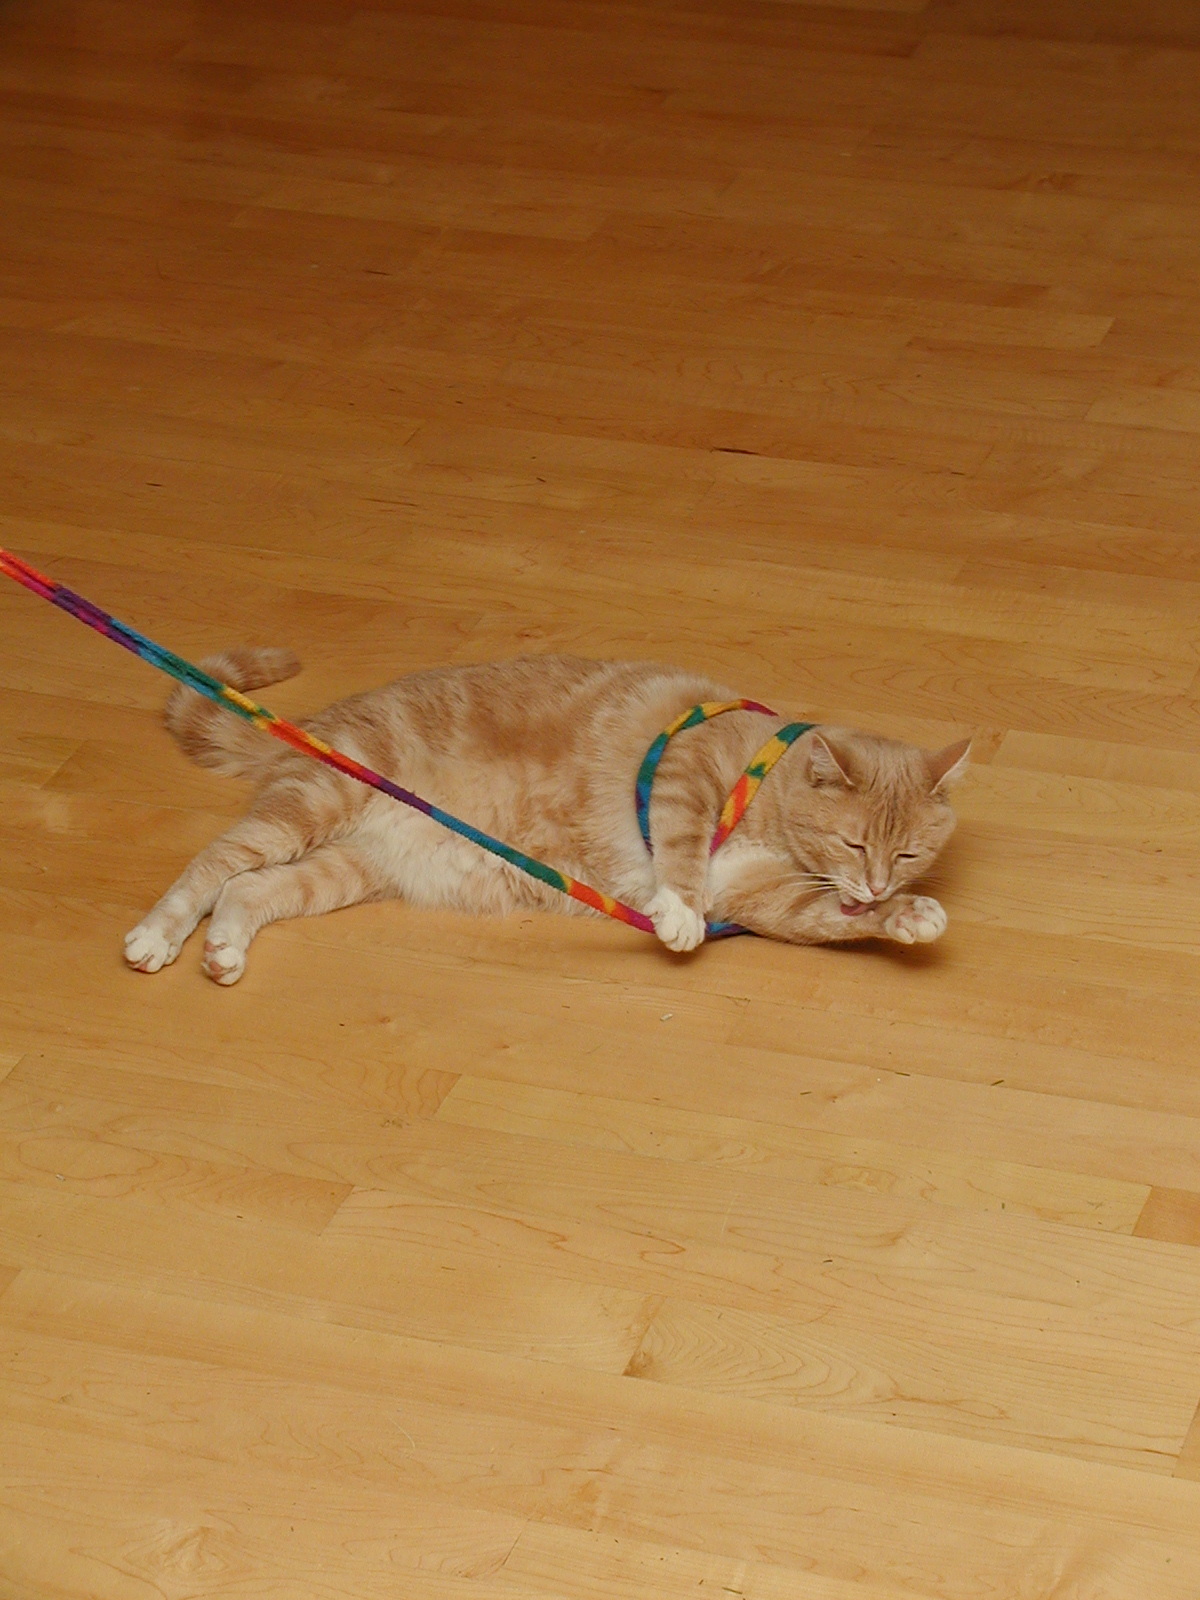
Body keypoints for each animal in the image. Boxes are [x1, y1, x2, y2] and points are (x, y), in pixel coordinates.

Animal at [124, 651, 969, 985]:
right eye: (852, 841)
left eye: (907, 856)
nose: (874, 884)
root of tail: (319, 722)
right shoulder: (686, 771)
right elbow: (683, 849)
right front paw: (677, 912)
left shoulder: (765, 899)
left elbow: (832, 920)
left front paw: (906, 917)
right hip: (317, 802)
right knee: (215, 865)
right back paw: (157, 936)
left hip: (347, 867)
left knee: (249, 891)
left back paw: (223, 951)